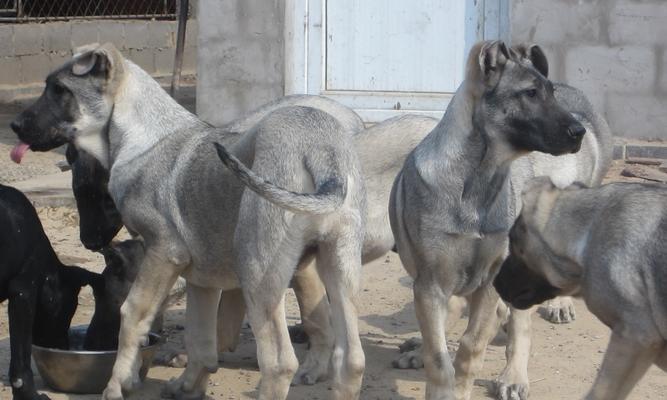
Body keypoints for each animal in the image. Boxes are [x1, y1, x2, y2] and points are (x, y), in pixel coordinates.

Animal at [388, 41, 612, 400]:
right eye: (530, 93)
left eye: (550, 93)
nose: (579, 131)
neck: (475, 184)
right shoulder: (431, 284)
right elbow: (438, 354)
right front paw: (435, 374)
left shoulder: (489, 281)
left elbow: (471, 348)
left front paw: (461, 389)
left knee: (521, 324)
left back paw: (514, 375)